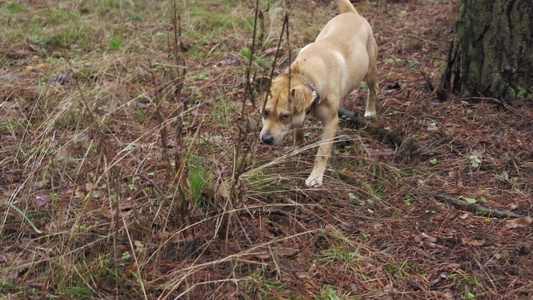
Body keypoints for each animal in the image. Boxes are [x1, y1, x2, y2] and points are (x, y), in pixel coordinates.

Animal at [258, 0, 378, 188]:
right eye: (265, 112)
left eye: (284, 116)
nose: (266, 139)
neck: (307, 77)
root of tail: (351, 14)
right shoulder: (300, 116)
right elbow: (298, 133)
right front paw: (297, 150)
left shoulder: (331, 122)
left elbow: (322, 152)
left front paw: (315, 177)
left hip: (370, 71)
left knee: (374, 89)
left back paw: (371, 110)